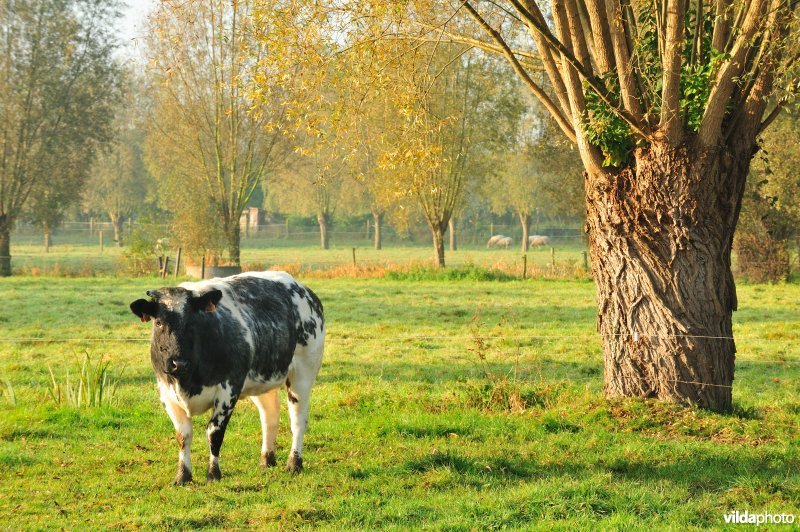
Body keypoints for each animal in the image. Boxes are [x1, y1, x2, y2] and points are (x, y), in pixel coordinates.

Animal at [129, 271, 324, 485]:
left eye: (192, 321)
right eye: (159, 322)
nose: (178, 363)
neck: (187, 380)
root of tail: (303, 289)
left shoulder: (229, 389)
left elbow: (214, 433)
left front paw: (213, 473)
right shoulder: (166, 392)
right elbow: (183, 435)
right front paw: (182, 475)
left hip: (303, 371)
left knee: (298, 420)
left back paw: (294, 463)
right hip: (261, 379)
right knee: (269, 415)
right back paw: (267, 460)